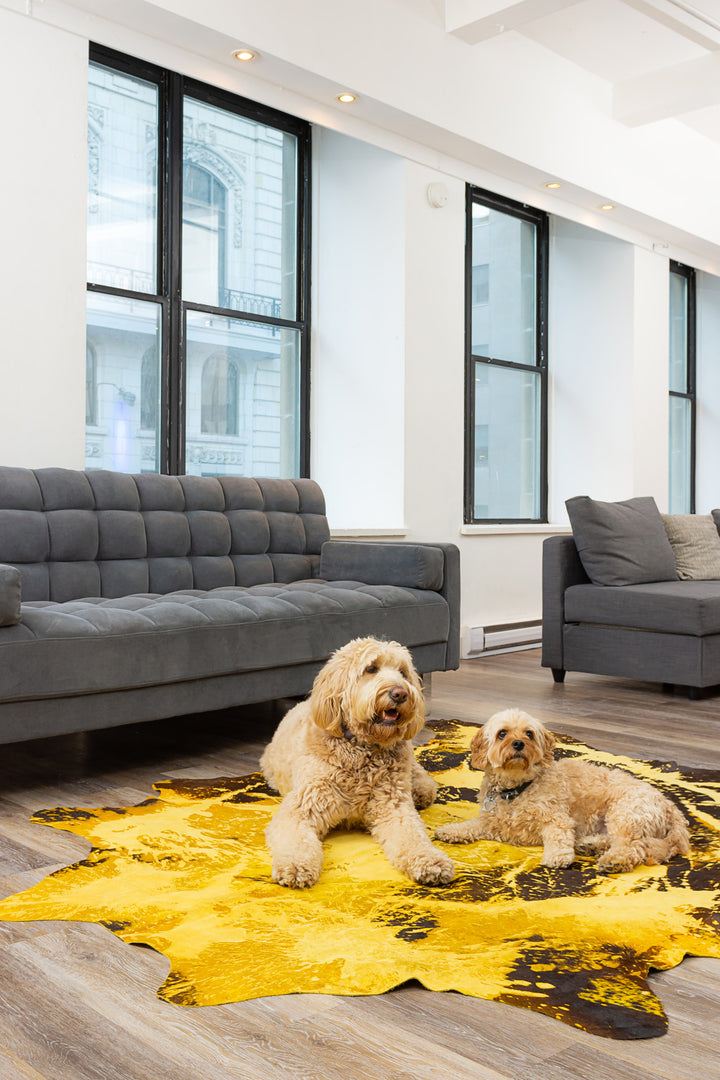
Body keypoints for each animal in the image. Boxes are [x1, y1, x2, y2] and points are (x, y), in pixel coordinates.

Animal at [260, 635, 455, 889]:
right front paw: (295, 866)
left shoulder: (394, 808)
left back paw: (421, 790)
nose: (400, 693)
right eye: (371, 668)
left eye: (402, 672)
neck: (362, 749)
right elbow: (296, 840)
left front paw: (430, 860)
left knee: (418, 773)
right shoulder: (302, 807)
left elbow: (413, 836)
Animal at [436, 704, 690, 872]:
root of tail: (670, 806)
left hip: (625, 814)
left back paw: (614, 860)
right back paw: (590, 845)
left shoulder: (557, 819)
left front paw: (558, 857)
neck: (517, 790)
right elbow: (470, 825)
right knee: (617, 841)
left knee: (633, 847)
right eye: (502, 733)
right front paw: (450, 830)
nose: (518, 744)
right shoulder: (491, 822)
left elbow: (558, 837)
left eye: (529, 734)